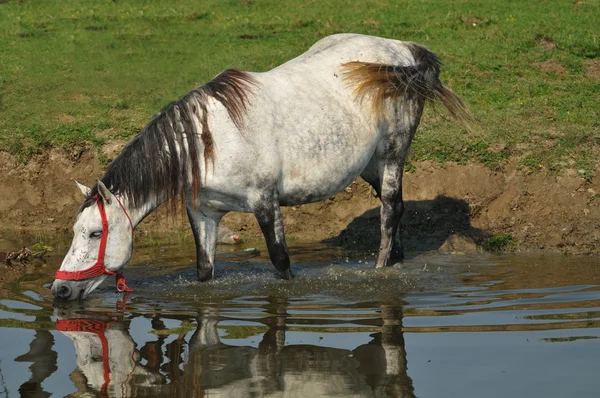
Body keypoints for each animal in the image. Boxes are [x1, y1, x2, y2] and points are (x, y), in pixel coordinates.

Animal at [51, 33, 472, 298]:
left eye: (94, 234)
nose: (60, 290)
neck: (208, 143)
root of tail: (403, 50)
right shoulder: (203, 212)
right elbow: (205, 269)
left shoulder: (265, 202)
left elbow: (281, 262)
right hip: (370, 165)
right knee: (393, 208)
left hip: (393, 153)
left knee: (390, 211)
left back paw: (382, 268)